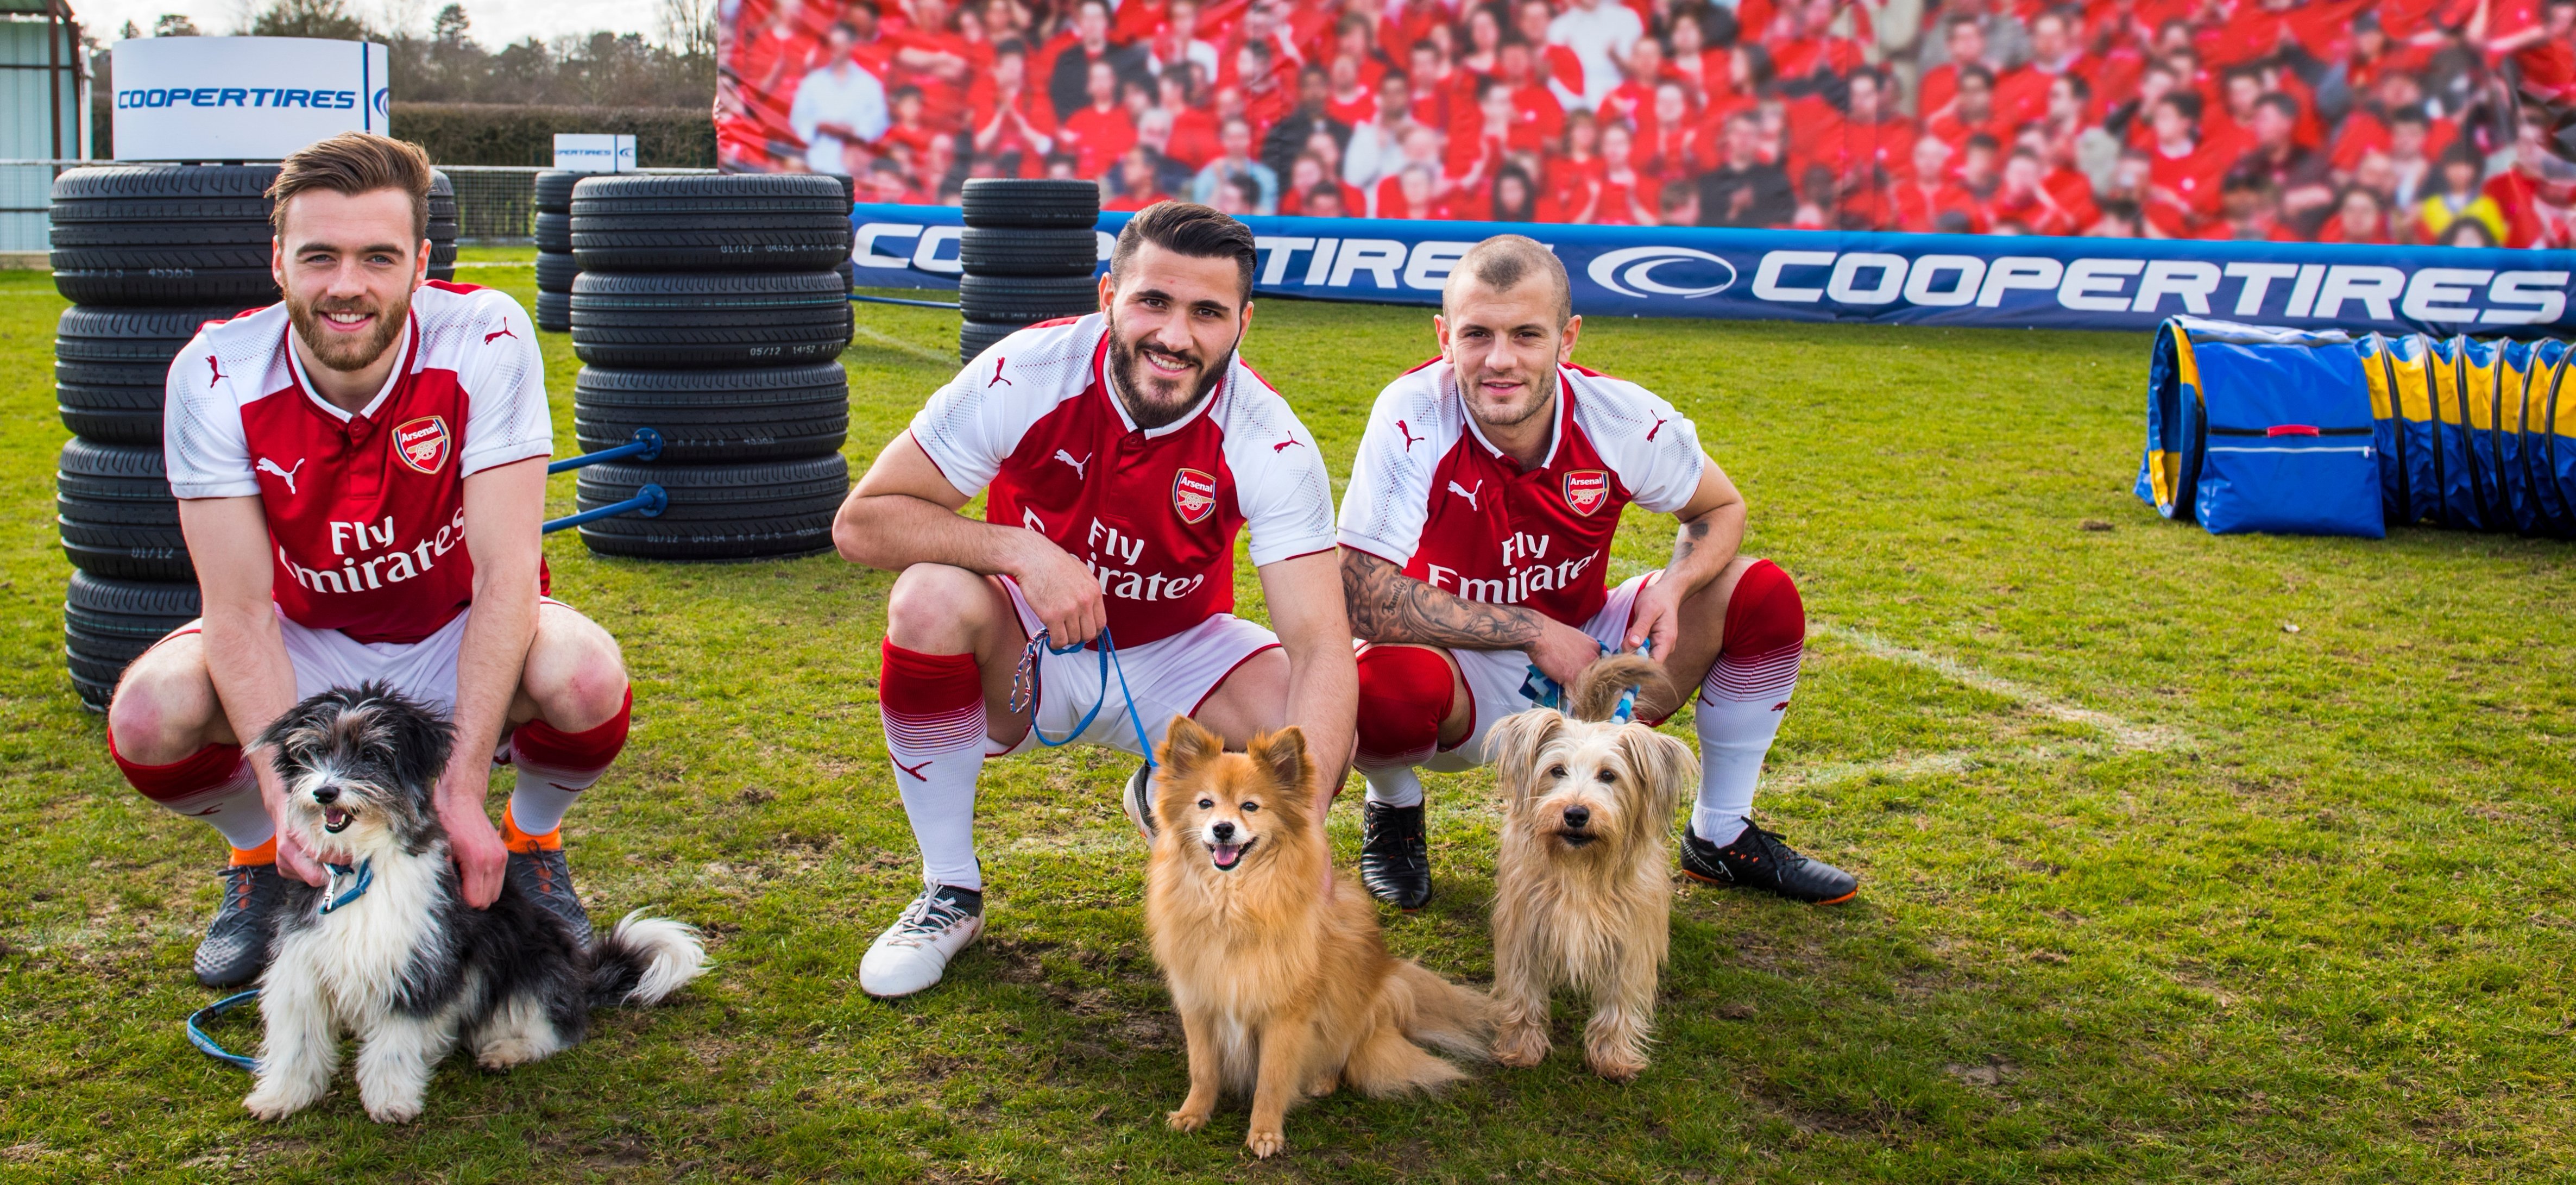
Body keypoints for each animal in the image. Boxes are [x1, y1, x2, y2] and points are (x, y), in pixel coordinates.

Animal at [242, 685, 706, 1118]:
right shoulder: (302, 967)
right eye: (314, 751)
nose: (325, 792)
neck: (364, 863)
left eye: (372, 755)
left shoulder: (418, 966)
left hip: (530, 965)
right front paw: (282, 1095)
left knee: (557, 1029)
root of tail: (581, 979)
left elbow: (394, 1043)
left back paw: (507, 1050)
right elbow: (296, 1041)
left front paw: (391, 1098)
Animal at [1149, 716, 1494, 1154]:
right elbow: (1204, 1069)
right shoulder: (1199, 1003)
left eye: (1250, 806)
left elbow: (1272, 1078)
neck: (1233, 904)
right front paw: (1193, 1113)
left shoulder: (1285, 1012)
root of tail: (1390, 977)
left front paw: (1265, 1132)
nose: (1223, 828)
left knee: (1343, 1053)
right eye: (1205, 804)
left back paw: (1321, 1080)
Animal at [1483, 657, 1700, 1082]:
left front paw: (1613, 1054)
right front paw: (1521, 1046)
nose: (1575, 813)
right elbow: (1523, 990)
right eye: (1556, 770)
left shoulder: (1629, 940)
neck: (1580, 871)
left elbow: (1618, 1001)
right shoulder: (1524, 928)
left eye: (1608, 775)